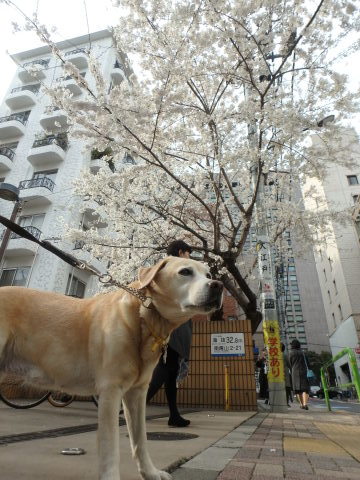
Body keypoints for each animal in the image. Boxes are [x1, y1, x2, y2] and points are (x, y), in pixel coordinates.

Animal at [0, 256, 222, 478]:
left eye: (209, 275)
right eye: (185, 272)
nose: (218, 285)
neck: (144, 317)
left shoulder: (137, 393)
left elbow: (140, 440)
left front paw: (149, 472)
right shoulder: (110, 391)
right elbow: (110, 446)